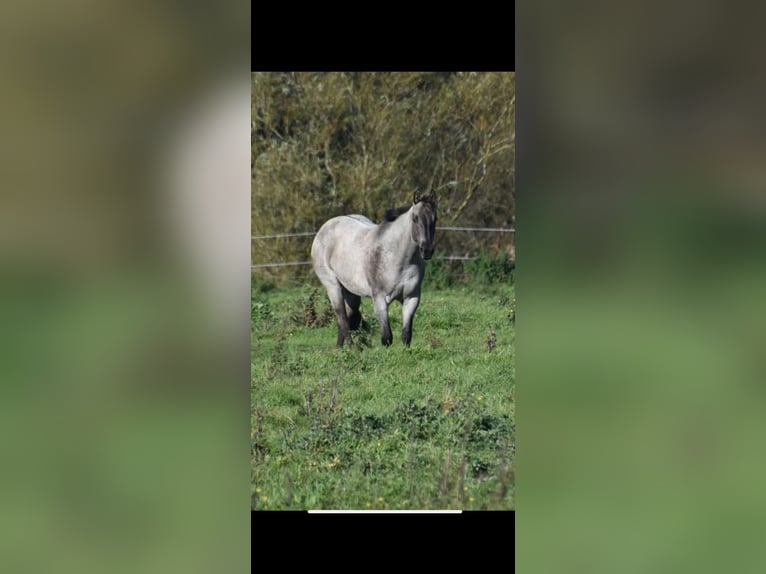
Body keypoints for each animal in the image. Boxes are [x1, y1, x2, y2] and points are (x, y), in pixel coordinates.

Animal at [311, 191, 437, 348]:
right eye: (415, 218)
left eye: (435, 219)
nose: (427, 250)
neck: (399, 258)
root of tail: (325, 228)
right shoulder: (380, 299)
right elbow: (387, 337)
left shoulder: (411, 298)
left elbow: (406, 335)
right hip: (333, 286)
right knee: (342, 319)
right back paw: (353, 350)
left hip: (351, 292)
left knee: (347, 319)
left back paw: (340, 349)